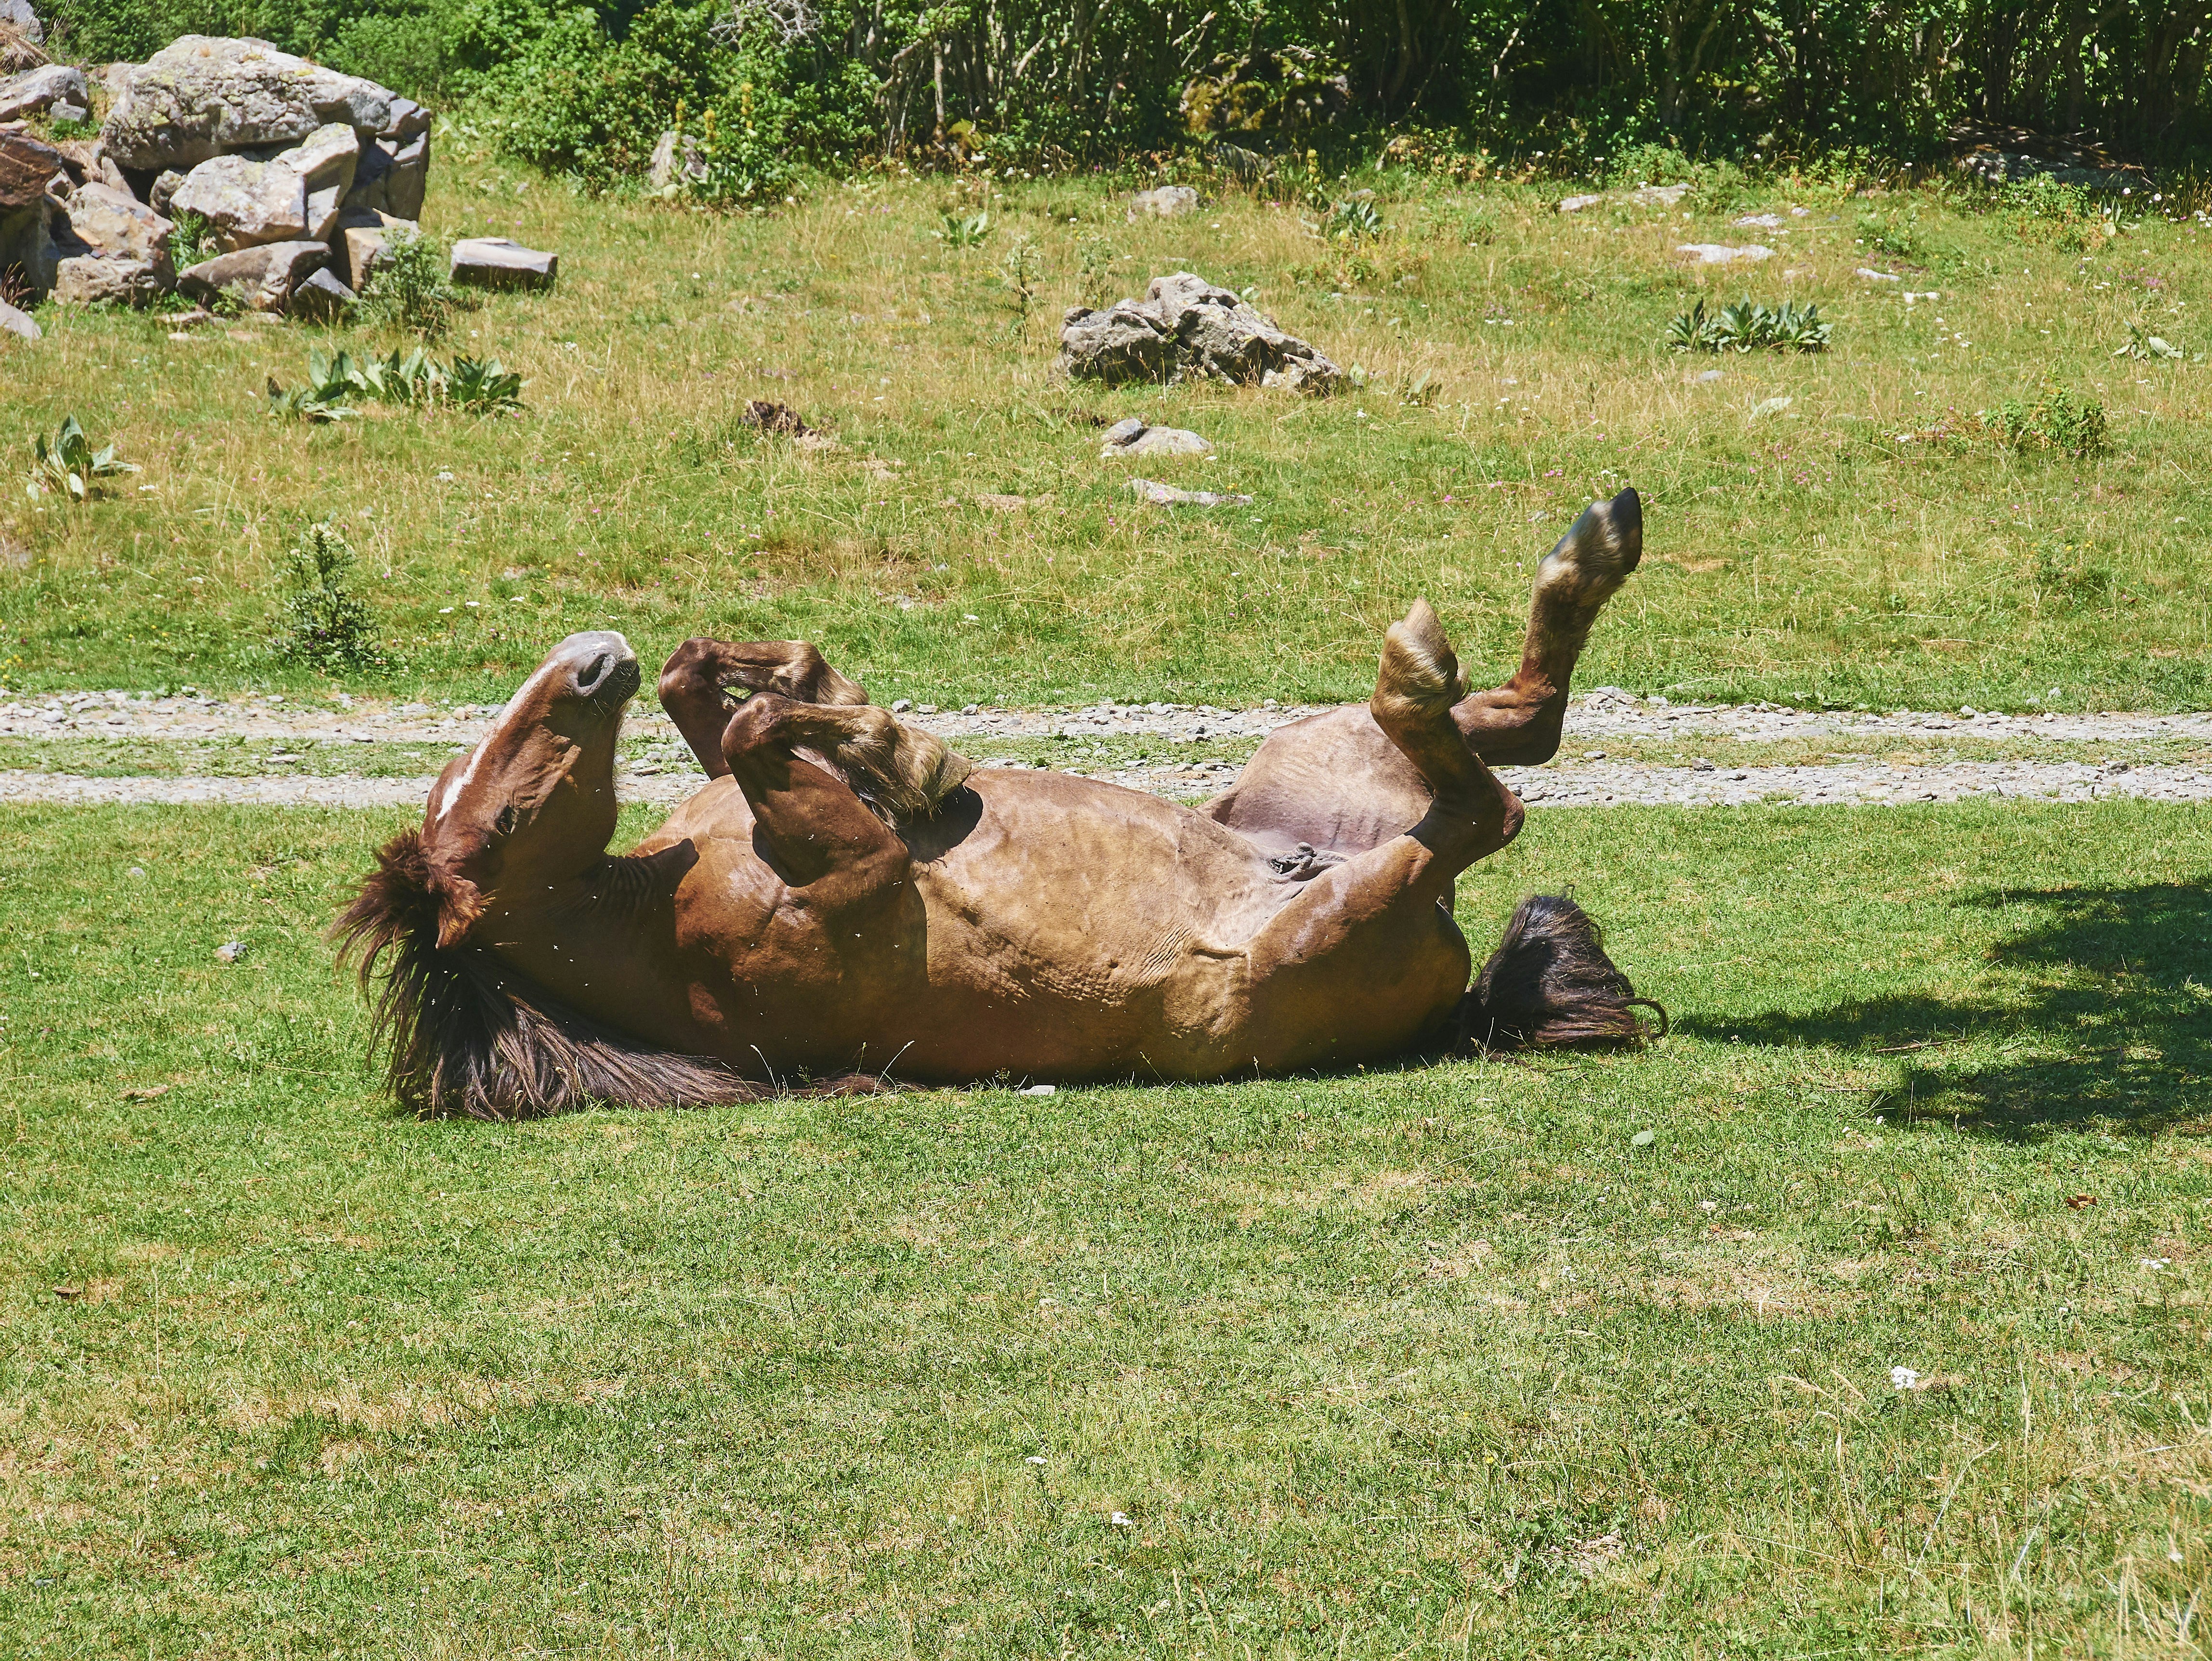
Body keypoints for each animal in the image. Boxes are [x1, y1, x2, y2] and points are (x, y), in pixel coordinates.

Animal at [335, 488, 1659, 1117]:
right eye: (499, 827)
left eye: (490, 793)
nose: (584, 660)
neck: (649, 915)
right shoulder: (860, 878)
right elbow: (767, 733)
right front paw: (912, 755)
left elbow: (713, 688)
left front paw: (868, 720)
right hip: (1330, 921)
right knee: (1485, 804)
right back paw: (1449, 646)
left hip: (1320, 757)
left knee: (1521, 720)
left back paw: (1593, 543)